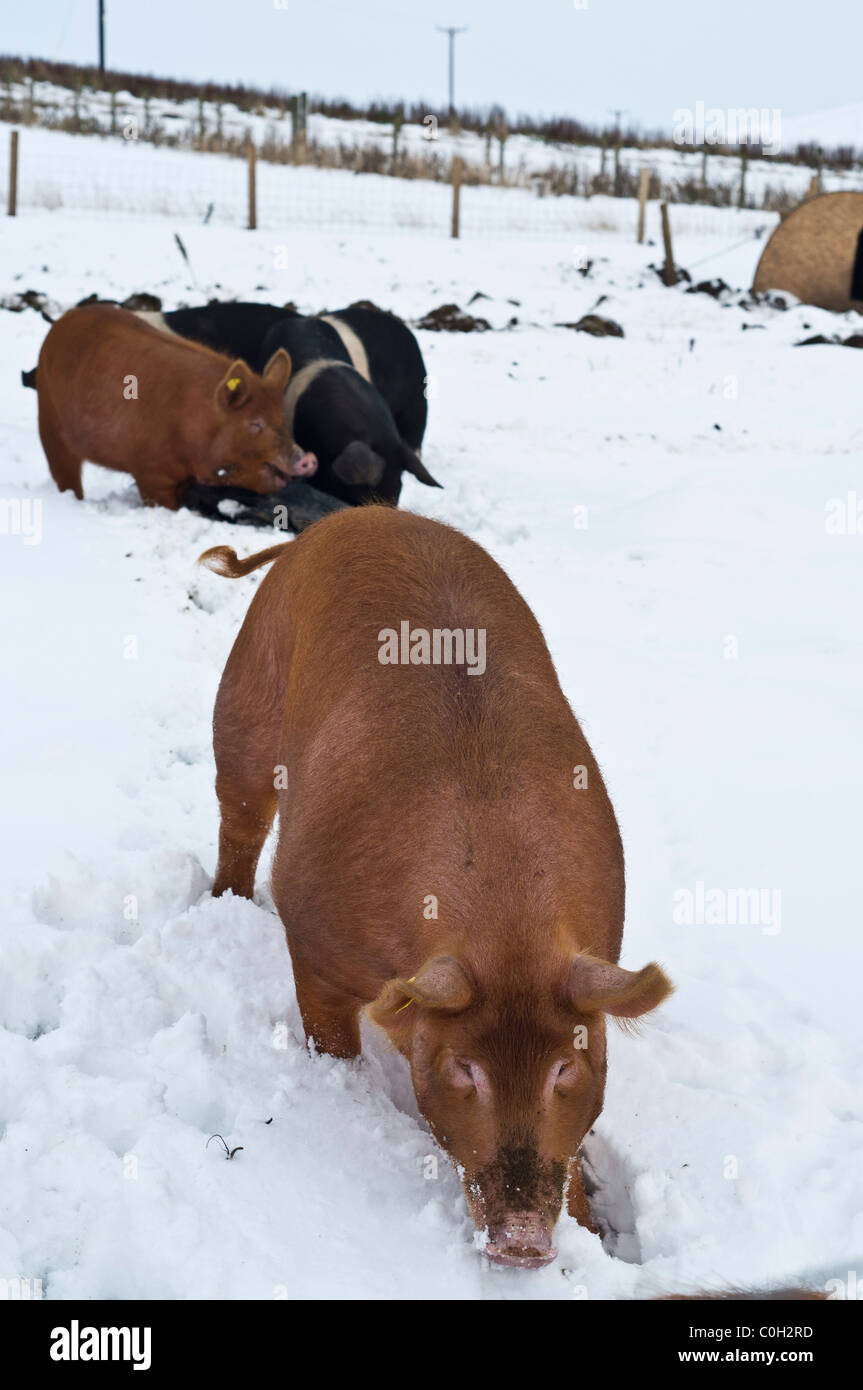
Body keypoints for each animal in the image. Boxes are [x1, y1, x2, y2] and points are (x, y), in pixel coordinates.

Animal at [37, 307, 318, 514]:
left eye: (282, 418)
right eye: (255, 423)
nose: (308, 458)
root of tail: (60, 324)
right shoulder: (150, 471)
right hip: (49, 420)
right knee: (64, 472)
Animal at [198, 508, 669, 1273]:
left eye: (564, 1067)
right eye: (464, 1068)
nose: (522, 1243)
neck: (506, 927)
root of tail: (345, 518)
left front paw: (593, 1232)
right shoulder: (313, 937)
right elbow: (330, 1040)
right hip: (243, 705)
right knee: (238, 820)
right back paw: (223, 906)